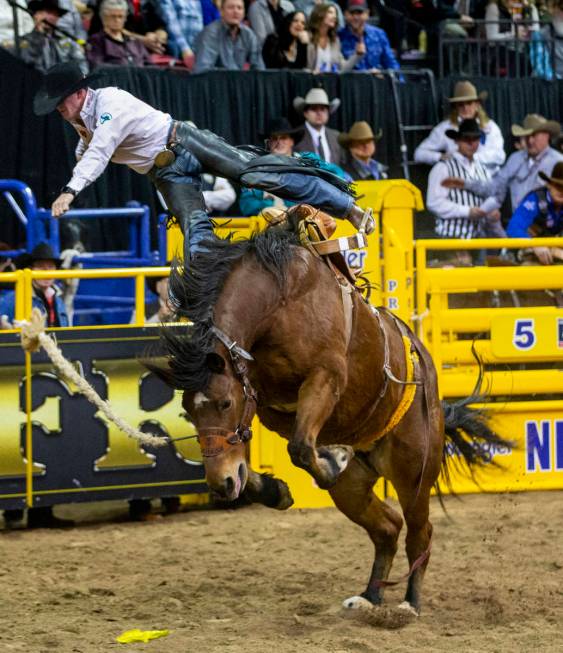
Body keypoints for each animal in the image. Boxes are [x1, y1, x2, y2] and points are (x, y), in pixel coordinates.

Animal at [149, 205, 512, 616]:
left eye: (225, 403)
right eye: (188, 412)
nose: (220, 484)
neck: (279, 302)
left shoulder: (326, 377)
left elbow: (300, 447)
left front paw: (326, 461)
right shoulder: (267, 405)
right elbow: (274, 448)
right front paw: (274, 489)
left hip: (414, 470)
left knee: (420, 531)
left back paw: (409, 602)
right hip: (354, 489)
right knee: (387, 527)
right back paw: (369, 595)